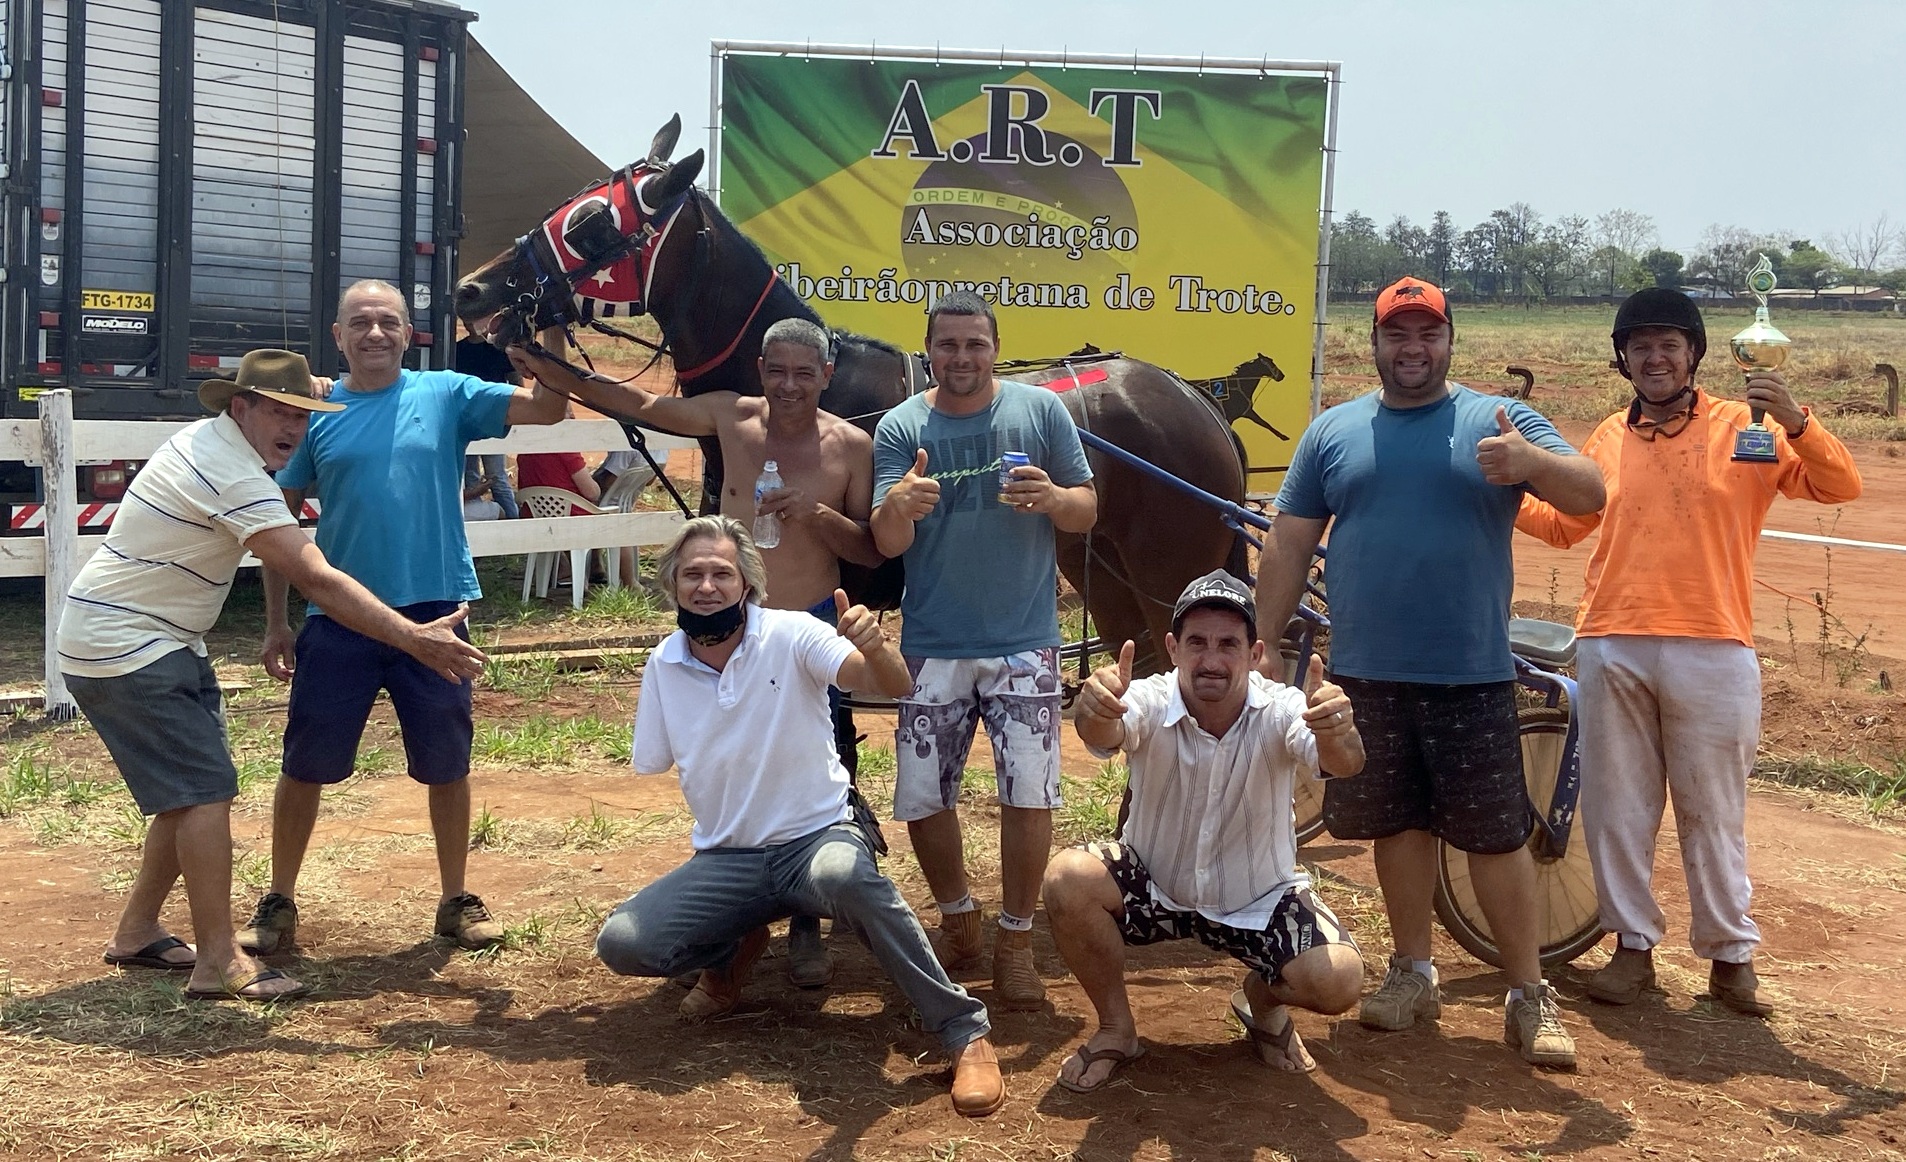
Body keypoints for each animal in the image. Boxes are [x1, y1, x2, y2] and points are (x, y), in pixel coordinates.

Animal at [454, 115, 1248, 677]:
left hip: (1164, 569)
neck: (809, 384)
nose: (474, 289)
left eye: (590, 223)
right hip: (1107, 576)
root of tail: (1194, 399)